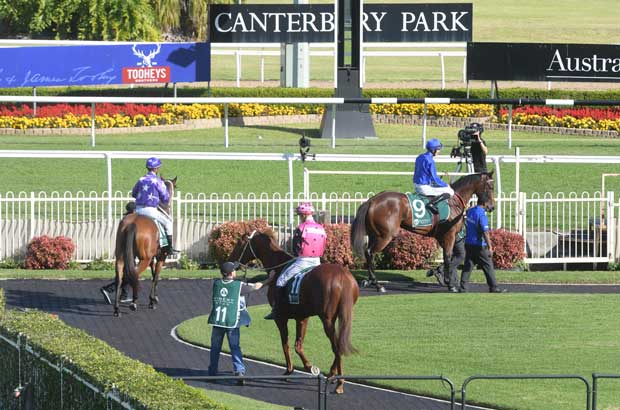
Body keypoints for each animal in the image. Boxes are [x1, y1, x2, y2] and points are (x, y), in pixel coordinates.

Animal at [112, 177, 177, 318]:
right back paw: (133, 301)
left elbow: (153, 274)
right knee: (134, 274)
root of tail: (132, 223)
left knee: (120, 276)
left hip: (120, 256)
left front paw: (154, 298)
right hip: (144, 259)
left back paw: (117, 308)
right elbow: (155, 277)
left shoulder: (152, 258)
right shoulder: (161, 257)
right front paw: (152, 300)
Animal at [230, 231, 360, 394]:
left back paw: (336, 379)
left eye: (238, 244)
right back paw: (336, 378)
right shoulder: (302, 318)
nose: (229, 260)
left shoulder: (280, 318)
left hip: (327, 320)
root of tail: (343, 276)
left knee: (337, 346)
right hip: (341, 317)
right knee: (339, 344)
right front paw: (307, 367)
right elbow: (298, 345)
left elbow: (285, 343)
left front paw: (291, 370)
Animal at [354, 172, 494, 292]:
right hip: (385, 236)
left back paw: (370, 281)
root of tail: (372, 201)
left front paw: (439, 274)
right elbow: (448, 257)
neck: (454, 201)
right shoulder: (449, 235)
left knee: (368, 253)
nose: (491, 207)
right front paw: (450, 284)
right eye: (491, 187)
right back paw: (378, 285)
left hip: (374, 234)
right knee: (370, 253)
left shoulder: (442, 236)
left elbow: (452, 257)